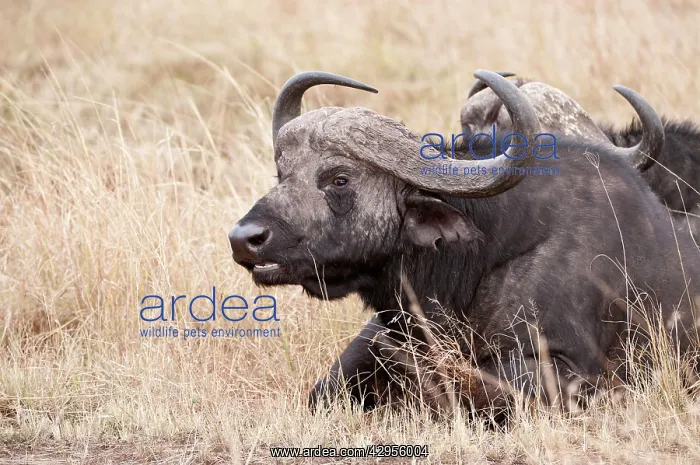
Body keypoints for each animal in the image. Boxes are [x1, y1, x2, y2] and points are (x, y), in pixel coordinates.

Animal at [229, 70, 700, 421]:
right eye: (282, 174)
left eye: (339, 179)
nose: (243, 239)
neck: (482, 258)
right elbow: (326, 391)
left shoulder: (571, 371)